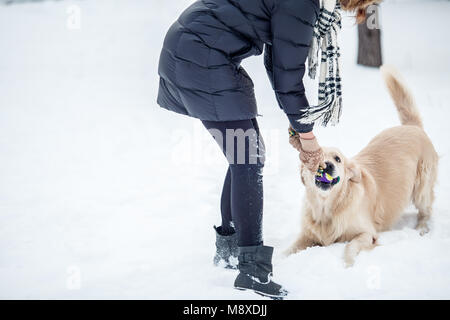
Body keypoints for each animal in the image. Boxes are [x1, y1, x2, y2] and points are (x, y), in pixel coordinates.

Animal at [286, 66, 438, 266]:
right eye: (317, 160)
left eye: (337, 159)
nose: (327, 166)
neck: (328, 208)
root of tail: (412, 127)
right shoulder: (307, 235)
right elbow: (287, 250)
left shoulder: (367, 233)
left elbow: (350, 247)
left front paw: (348, 265)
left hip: (422, 188)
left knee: (425, 212)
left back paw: (421, 228)